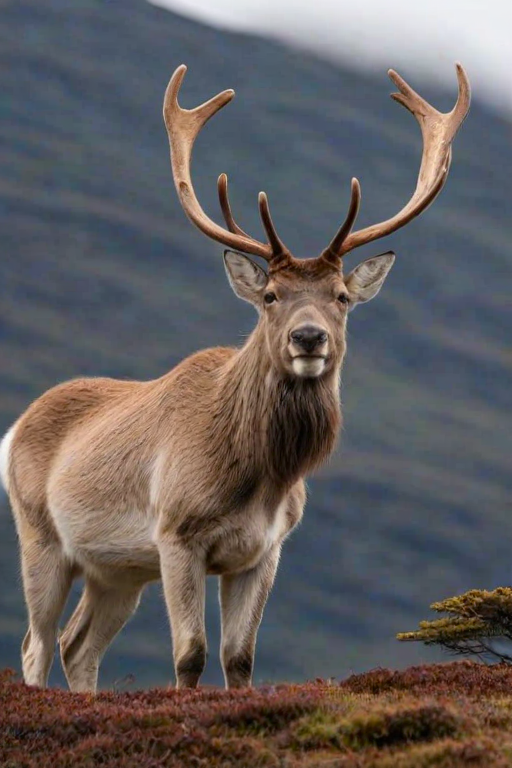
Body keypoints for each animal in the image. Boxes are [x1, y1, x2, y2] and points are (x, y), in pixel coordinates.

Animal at [0, 63, 470, 693]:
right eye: (270, 295)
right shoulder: (176, 533)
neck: (258, 479)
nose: (308, 338)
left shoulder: (264, 551)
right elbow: (190, 655)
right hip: (40, 536)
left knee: (77, 645)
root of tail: (14, 429)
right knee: (35, 645)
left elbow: (240, 659)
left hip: (119, 569)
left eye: (341, 297)